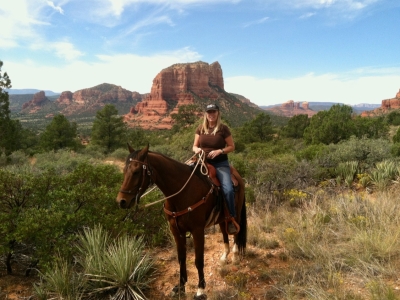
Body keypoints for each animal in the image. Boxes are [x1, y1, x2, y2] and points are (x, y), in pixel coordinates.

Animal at [115, 144, 247, 298]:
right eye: (124, 170)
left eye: (136, 172)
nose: (121, 201)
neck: (182, 192)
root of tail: (236, 174)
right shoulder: (176, 230)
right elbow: (181, 258)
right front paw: (180, 286)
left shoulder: (197, 230)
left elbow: (198, 260)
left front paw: (200, 290)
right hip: (221, 217)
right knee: (225, 232)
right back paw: (224, 257)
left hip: (236, 214)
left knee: (236, 232)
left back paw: (235, 256)